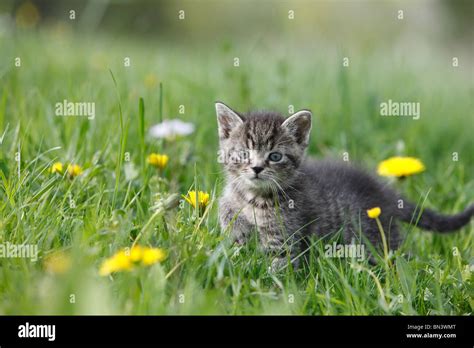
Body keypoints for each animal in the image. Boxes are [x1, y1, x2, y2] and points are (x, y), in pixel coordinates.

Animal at [216, 100, 474, 270]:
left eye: (275, 156)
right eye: (243, 153)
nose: (257, 168)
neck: (254, 198)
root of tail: (383, 192)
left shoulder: (284, 238)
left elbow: (279, 264)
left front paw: (270, 288)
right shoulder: (232, 201)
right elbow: (228, 213)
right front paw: (238, 234)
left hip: (375, 237)